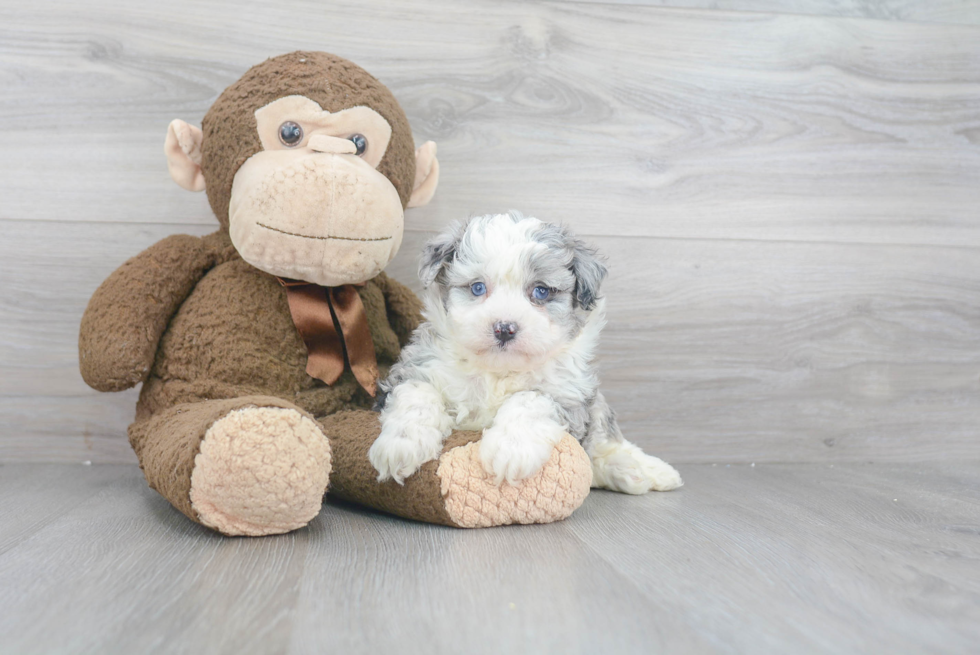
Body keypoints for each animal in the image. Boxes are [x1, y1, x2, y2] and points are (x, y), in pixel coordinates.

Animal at [368, 213, 680, 494]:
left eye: (541, 291)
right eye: (477, 287)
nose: (505, 328)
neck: (499, 371)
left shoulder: (568, 395)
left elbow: (530, 400)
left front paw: (510, 450)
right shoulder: (412, 370)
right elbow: (417, 394)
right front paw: (401, 444)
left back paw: (647, 471)